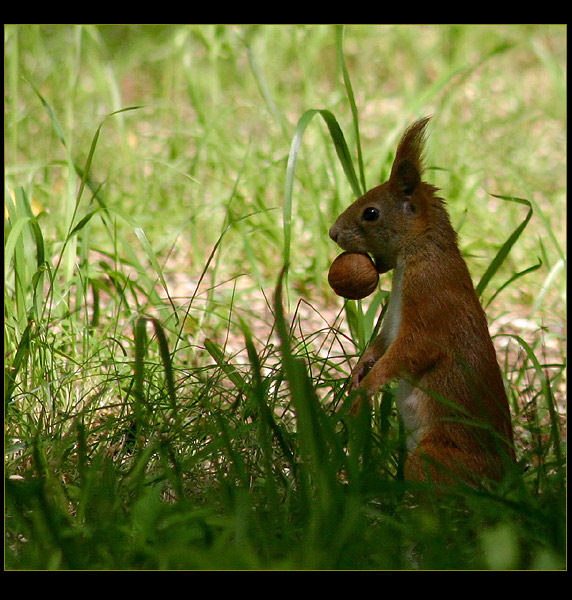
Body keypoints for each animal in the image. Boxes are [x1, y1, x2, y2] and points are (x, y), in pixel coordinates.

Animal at [328, 116, 516, 482]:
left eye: (371, 212)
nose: (333, 233)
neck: (416, 256)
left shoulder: (432, 303)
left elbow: (410, 351)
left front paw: (368, 385)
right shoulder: (393, 317)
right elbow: (383, 342)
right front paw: (359, 369)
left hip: (433, 459)